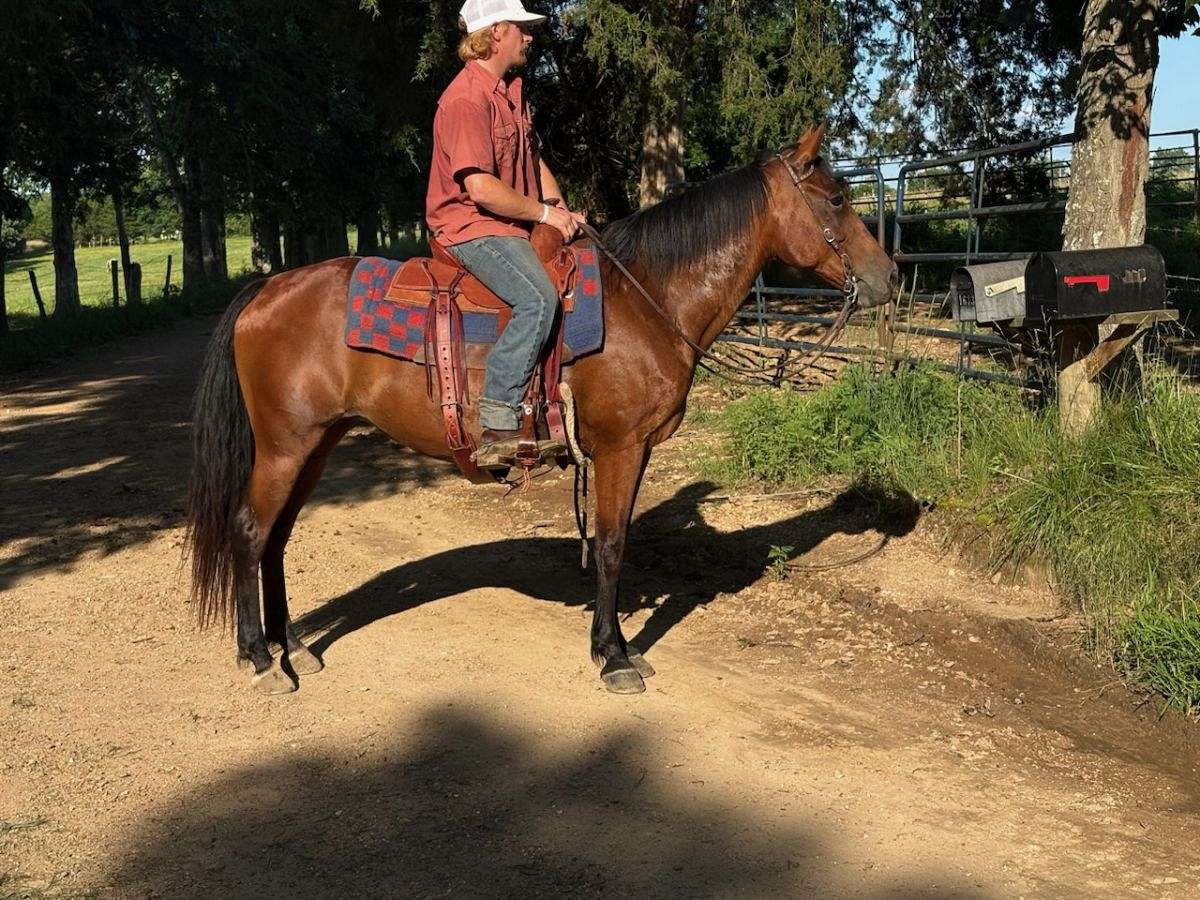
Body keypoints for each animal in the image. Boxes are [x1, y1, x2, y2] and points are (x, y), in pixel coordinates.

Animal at [185, 124, 898, 695]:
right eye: (838, 198)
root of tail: (265, 290)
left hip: (318, 442)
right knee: (249, 530)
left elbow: (618, 542)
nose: (889, 276)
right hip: (285, 445)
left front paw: (615, 645)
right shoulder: (618, 447)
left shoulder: (633, 450)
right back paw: (259, 659)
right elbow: (610, 546)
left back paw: (292, 646)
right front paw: (613, 657)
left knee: (276, 537)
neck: (648, 300)